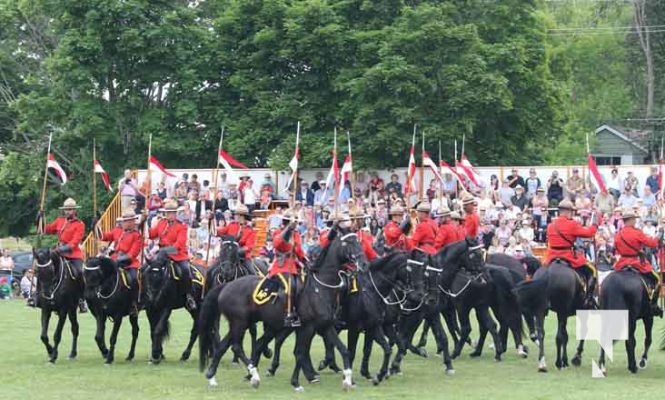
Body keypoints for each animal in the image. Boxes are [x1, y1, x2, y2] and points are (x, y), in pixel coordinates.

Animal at [200, 233, 368, 392]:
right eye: (349, 243)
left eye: (358, 241)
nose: (364, 264)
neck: (320, 288)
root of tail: (226, 285)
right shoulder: (307, 327)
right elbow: (300, 353)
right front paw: (296, 383)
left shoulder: (325, 326)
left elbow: (344, 350)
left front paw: (347, 380)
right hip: (240, 323)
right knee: (236, 346)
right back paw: (254, 375)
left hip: (242, 323)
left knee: (224, 346)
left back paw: (212, 377)